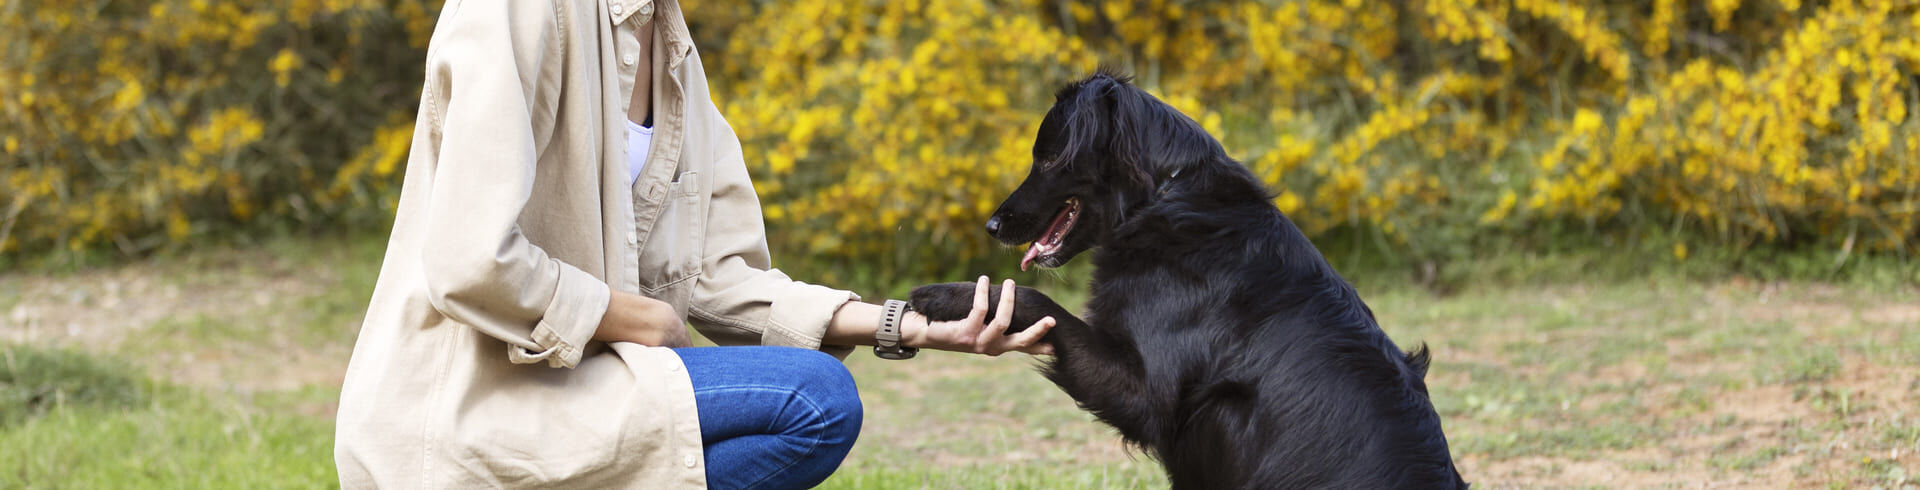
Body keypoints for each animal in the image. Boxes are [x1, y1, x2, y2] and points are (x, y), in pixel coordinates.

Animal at [913, 70, 1466, 488]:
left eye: (1049, 157)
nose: (992, 226)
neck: (1160, 201)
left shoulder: (1147, 397)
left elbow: (1040, 302)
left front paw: (945, 296)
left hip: (1221, 411)